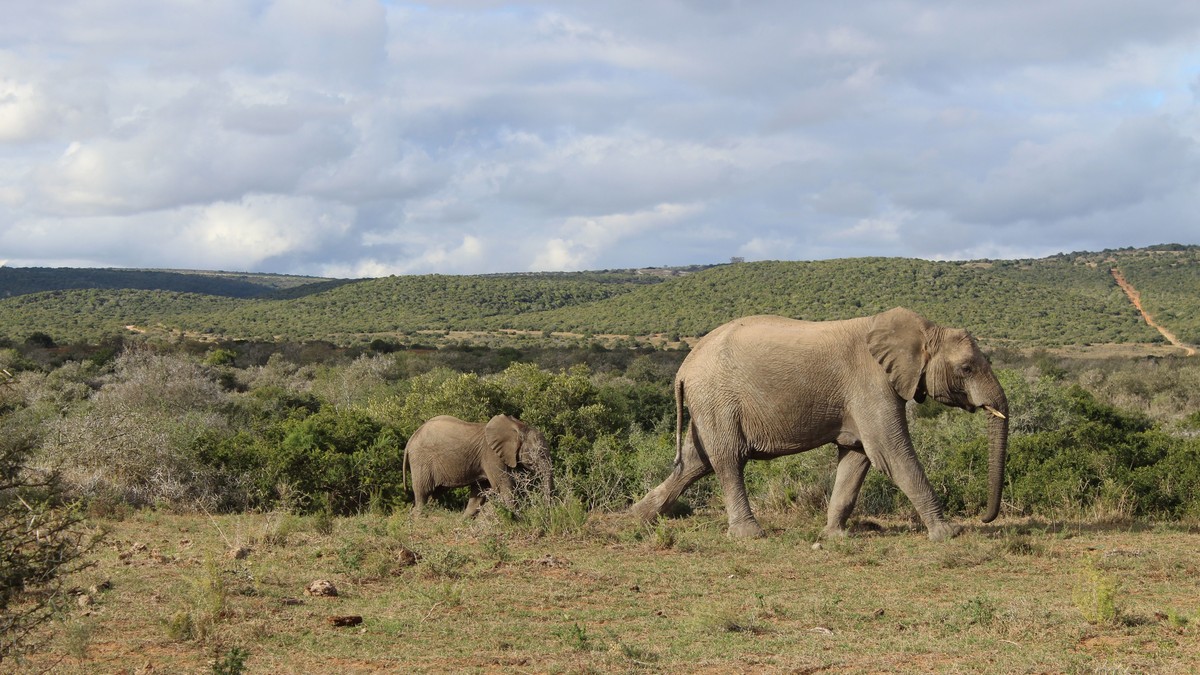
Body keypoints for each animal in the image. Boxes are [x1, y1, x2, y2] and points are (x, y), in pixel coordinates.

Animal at [404, 414, 553, 517]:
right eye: (538, 452)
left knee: (434, 494)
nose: (547, 511)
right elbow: (503, 485)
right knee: (423, 493)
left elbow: (480, 493)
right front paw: (518, 518)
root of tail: (410, 440)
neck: (518, 427)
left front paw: (463, 522)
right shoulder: (491, 454)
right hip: (421, 460)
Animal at [630, 307, 1008, 541]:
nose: (985, 519)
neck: (923, 329)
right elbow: (891, 453)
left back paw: (636, 517)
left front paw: (834, 536)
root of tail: (683, 368)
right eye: (966, 368)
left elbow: (858, 456)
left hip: (707, 403)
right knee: (727, 459)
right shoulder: (870, 383)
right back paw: (750, 535)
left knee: (695, 462)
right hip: (717, 398)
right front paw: (949, 534)